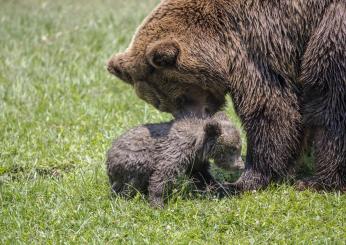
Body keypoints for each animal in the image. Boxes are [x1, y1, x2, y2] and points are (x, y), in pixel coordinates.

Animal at [107, 0, 344, 191]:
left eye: (179, 98)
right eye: (162, 105)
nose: (189, 128)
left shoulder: (257, 42)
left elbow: (271, 107)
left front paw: (241, 182)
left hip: (333, 28)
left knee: (329, 96)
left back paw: (319, 182)